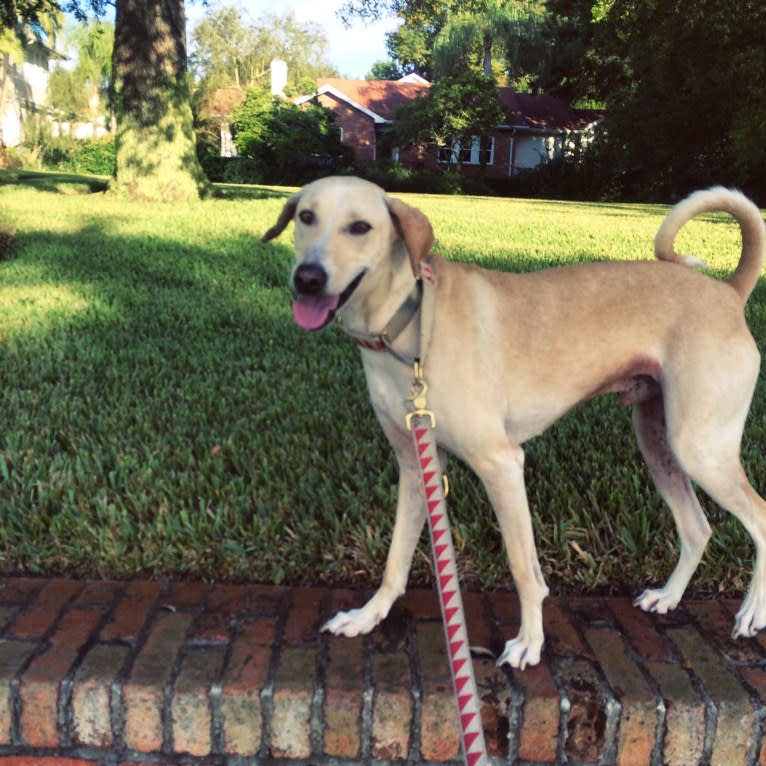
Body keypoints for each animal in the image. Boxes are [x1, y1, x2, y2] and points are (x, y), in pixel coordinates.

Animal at [264, 177, 766, 668]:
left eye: (360, 227)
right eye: (306, 216)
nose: (307, 278)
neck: (411, 324)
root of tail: (728, 292)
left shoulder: (502, 464)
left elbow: (525, 570)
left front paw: (530, 642)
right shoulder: (415, 467)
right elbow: (395, 559)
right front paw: (368, 616)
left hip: (700, 448)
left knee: (759, 517)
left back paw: (750, 614)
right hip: (660, 443)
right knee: (697, 529)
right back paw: (668, 596)